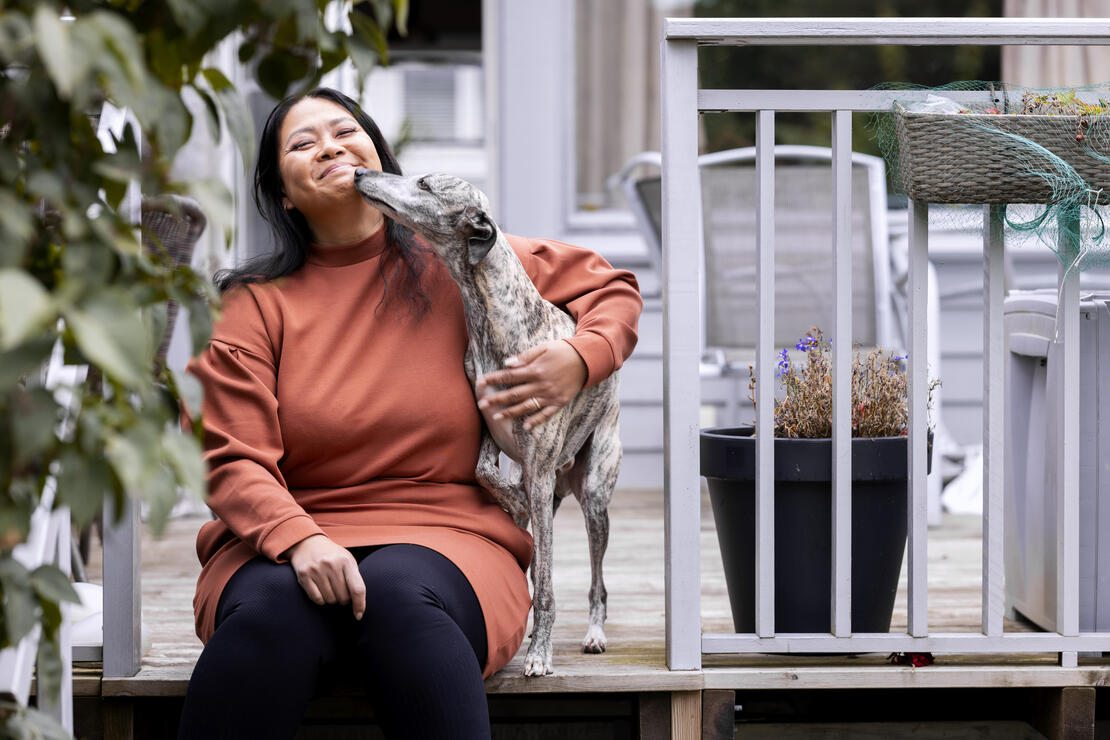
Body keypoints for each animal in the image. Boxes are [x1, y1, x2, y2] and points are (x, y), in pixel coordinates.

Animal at [355, 167, 621, 678]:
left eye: (424, 184)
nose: (359, 172)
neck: (497, 322)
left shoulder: (539, 466)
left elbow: (547, 587)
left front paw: (540, 656)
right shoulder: (492, 435)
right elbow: (483, 473)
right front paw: (511, 503)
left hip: (595, 493)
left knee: (597, 579)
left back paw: (593, 634)